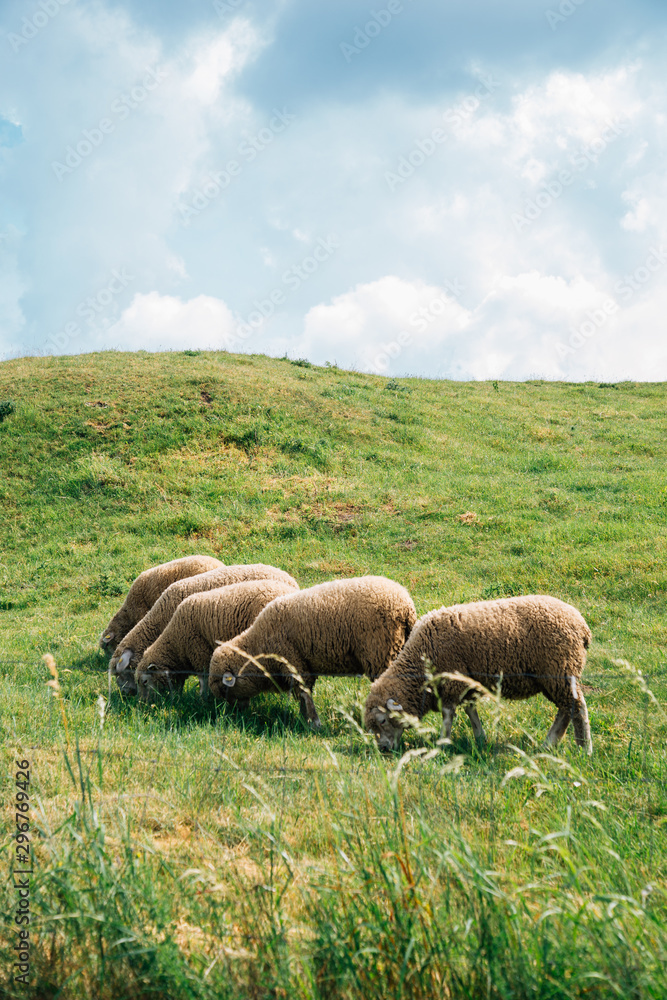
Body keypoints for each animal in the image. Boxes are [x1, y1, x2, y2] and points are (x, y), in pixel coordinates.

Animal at [209, 576, 418, 732]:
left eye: (225, 689)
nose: (235, 714)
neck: (259, 646)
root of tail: (406, 606)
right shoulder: (302, 664)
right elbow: (304, 693)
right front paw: (305, 719)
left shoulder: (293, 661)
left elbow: (304, 692)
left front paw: (314, 723)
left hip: (381, 652)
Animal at [366, 592, 596, 752]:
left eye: (383, 721)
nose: (383, 749)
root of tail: (583, 627)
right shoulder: (468, 683)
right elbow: (471, 710)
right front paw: (480, 738)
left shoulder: (452, 682)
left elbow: (448, 715)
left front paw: (442, 743)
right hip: (556, 677)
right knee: (565, 710)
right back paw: (549, 744)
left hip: (560, 671)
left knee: (577, 708)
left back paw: (584, 749)